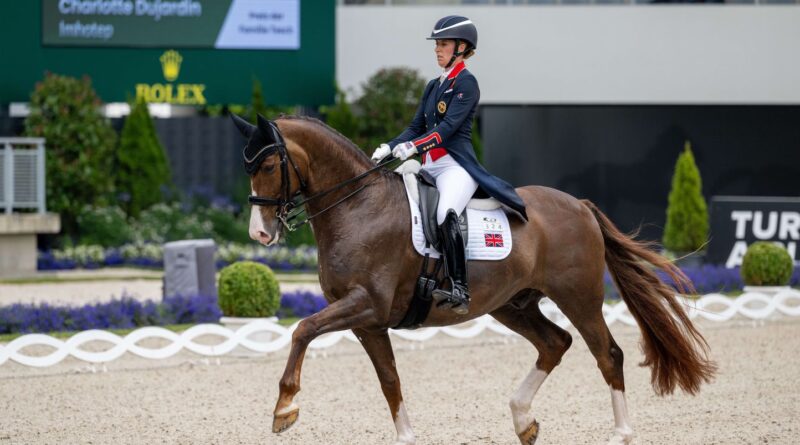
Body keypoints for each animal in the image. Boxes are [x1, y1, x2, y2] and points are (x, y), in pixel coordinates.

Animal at [234, 115, 716, 444]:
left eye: (270, 165)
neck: (357, 207)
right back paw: (523, 420)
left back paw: (621, 432)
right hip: (512, 304)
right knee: (555, 343)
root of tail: (578, 205)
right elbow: (389, 379)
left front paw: (285, 407)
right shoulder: (367, 322)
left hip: (578, 297)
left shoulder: (366, 303)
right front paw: (406, 436)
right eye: (247, 169)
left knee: (608, 354)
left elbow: (302, 329)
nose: (260, 234)